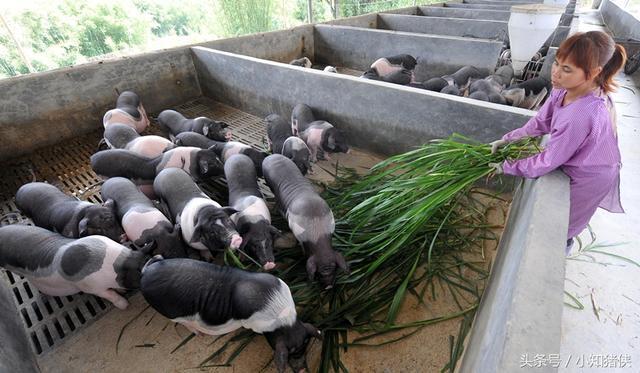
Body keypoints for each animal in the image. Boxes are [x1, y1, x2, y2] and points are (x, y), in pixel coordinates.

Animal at [140, 256, 320, 372]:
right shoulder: (254, 323)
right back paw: (200, 334)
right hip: (171, 311)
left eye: (305, 345)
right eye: (291, 353)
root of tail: (146, 271)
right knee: (183, 322)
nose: (302, 370)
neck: (281, 314)